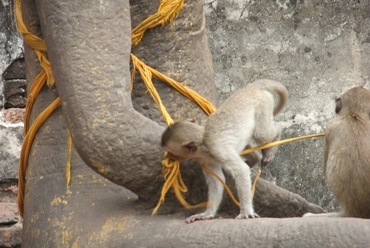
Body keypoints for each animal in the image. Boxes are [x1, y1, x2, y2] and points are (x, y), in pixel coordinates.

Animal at [162, 79, 290, 223]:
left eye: (173, 153)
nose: (168, 157)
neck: (203, 142)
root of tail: (251, 87)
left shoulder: (218, 150)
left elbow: (241, 170)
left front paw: (246, 211)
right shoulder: (205, 160)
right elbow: (217, 181)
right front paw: (206, 214)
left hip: (263, 105)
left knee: (262, 134)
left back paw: (273, 143)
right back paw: (255, 158)